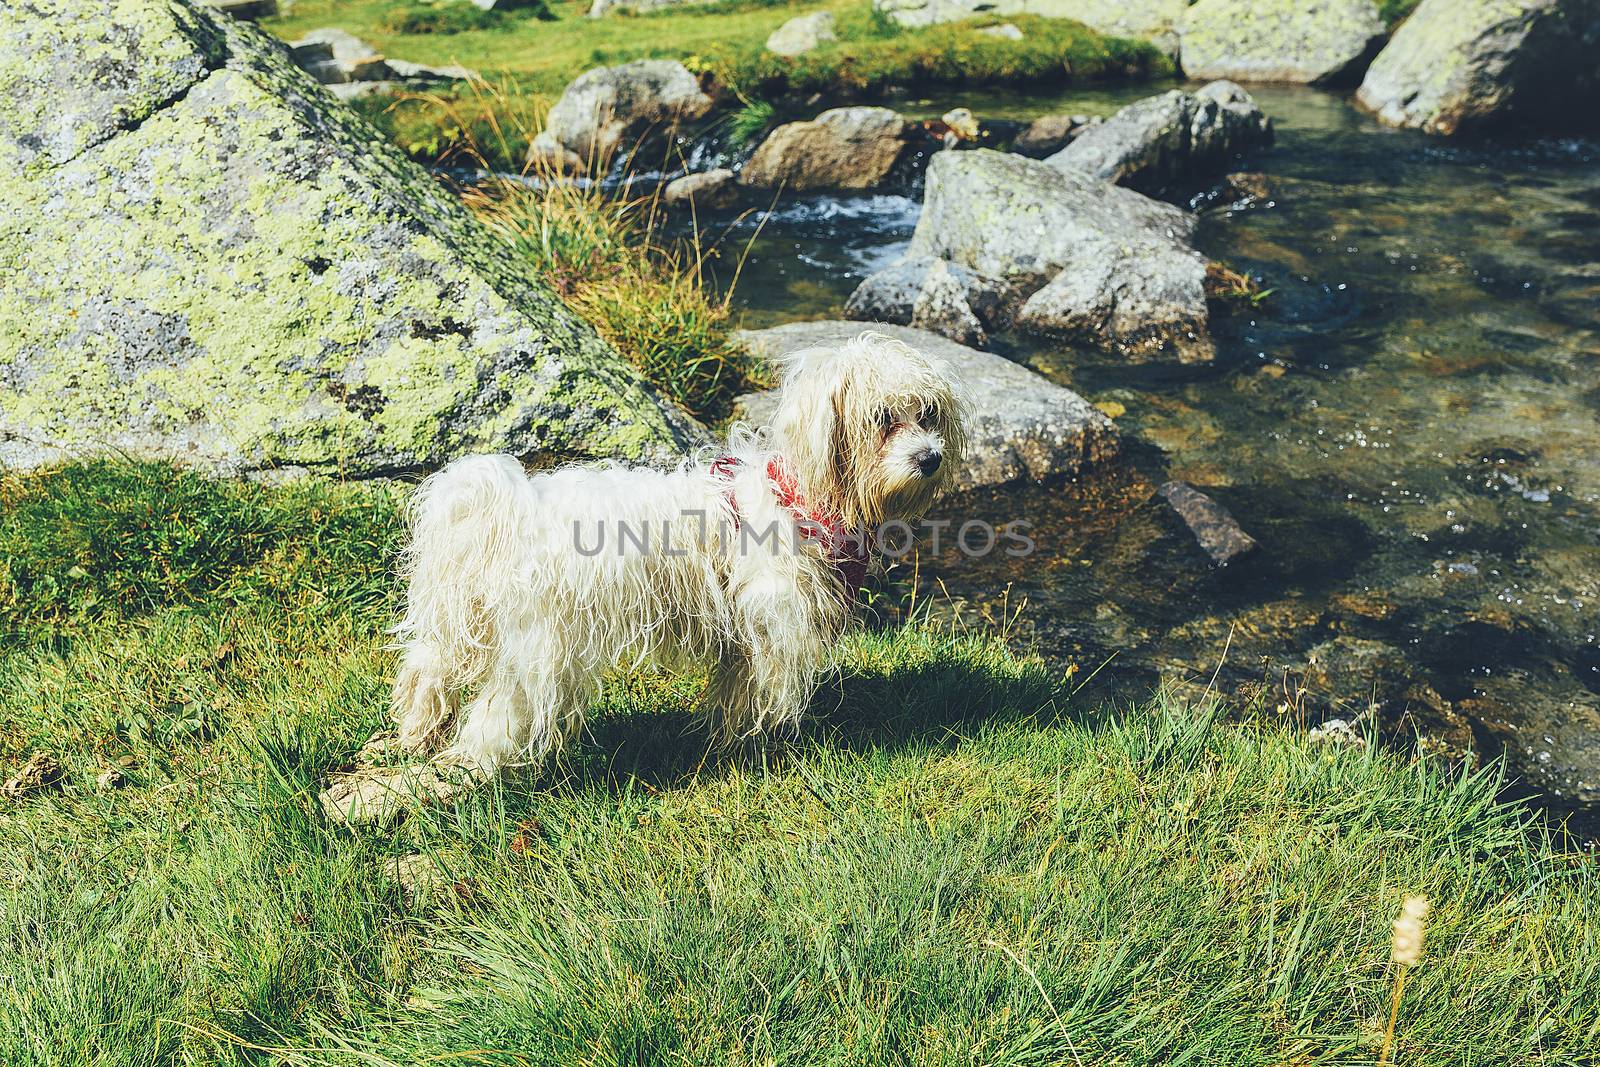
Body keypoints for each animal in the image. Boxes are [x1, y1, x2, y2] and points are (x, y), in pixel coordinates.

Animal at [390, 334, 960, 777]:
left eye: (928, 414)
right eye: (884, 419)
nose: (931, 458)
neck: (802, 498)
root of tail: (510, 510)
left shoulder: (744, 634)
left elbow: (737, 691)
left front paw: (729, 741)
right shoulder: (777, 624)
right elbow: (769, 691)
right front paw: (766, 747)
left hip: (462, 621)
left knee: (428, 669)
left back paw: (416, 736)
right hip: (540, 646)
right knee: (502, 708)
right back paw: (473, 762)